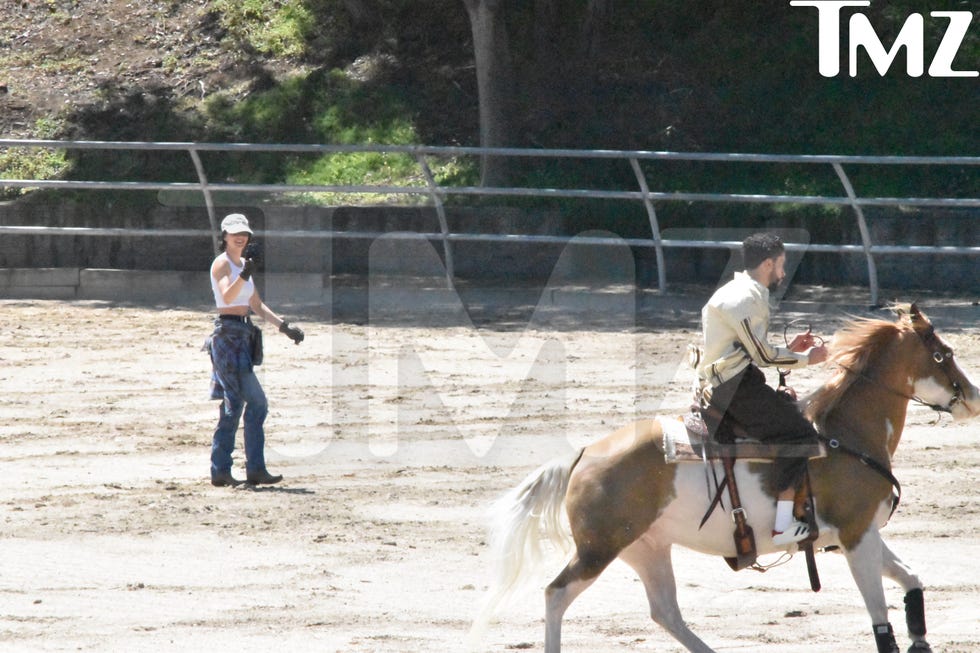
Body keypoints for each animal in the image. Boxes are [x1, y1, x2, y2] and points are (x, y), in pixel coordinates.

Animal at [470, 306, 976, 652]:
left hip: (646, 548)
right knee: (556, 595)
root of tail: (584, 456)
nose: (971, 396)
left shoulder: (862, 532)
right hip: (600, 549)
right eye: (942, 354)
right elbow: (879, 614)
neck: (845, 434)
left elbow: (911, 580)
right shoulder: (856, 536)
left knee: (665, 611)